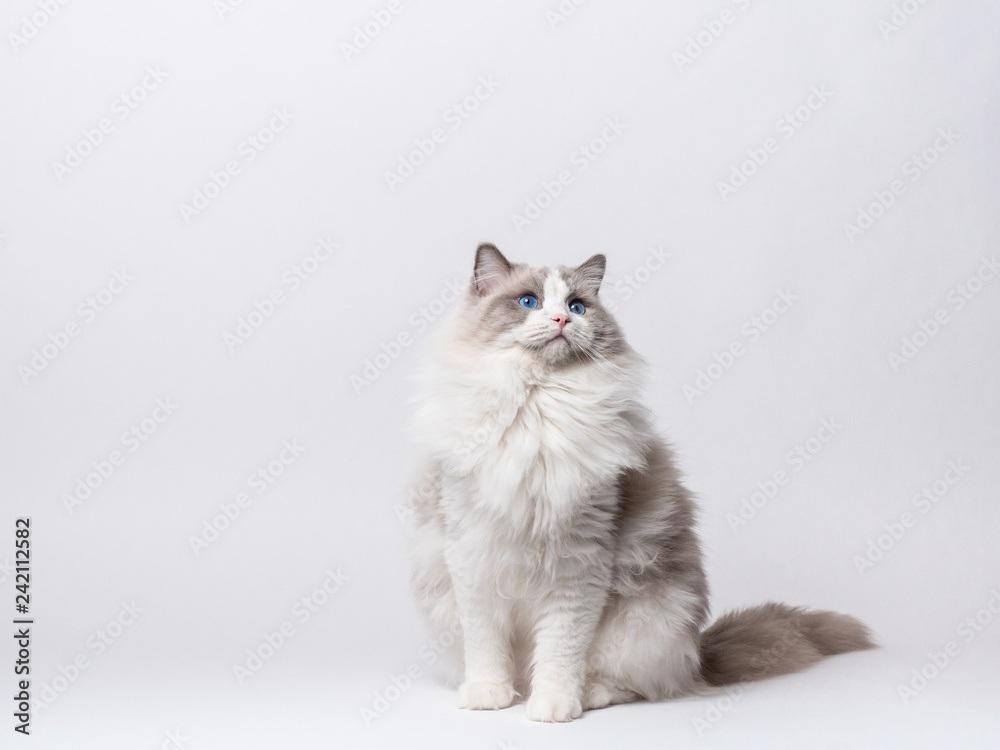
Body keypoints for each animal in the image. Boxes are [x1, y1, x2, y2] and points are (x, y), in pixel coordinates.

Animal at [406, 245, 876, 724]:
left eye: (577, 306)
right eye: (528, 302)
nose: (561, 320)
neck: (540, 408)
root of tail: (700, 653)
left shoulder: (579, 563)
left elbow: (560, 649)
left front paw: (553, 705)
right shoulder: (471, 556)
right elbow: (486, 645)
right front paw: (489, 695)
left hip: (645, 620)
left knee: (632, 682)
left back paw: (588, 694)